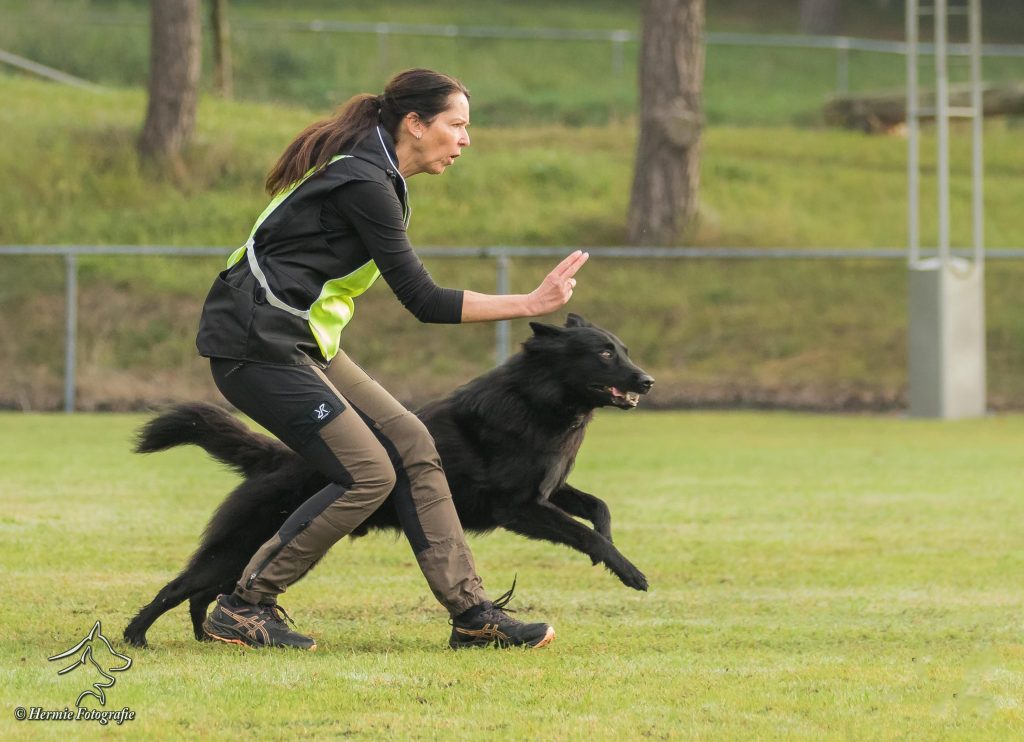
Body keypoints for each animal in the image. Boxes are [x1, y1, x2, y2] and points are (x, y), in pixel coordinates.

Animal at [125, 315, 655, 646]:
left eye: (624, 350)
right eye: (604, 353)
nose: (648, 381)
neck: (535, 399)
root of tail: (276, 457)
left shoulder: (550, 491)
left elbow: (599, 508)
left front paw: (612, 546)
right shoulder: (520, 508)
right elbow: (585, 532)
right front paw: (629, 570)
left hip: (247, 552)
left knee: (203, 592)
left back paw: (208, 637)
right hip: (241, 546)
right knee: (179, 587)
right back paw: (138, 636)